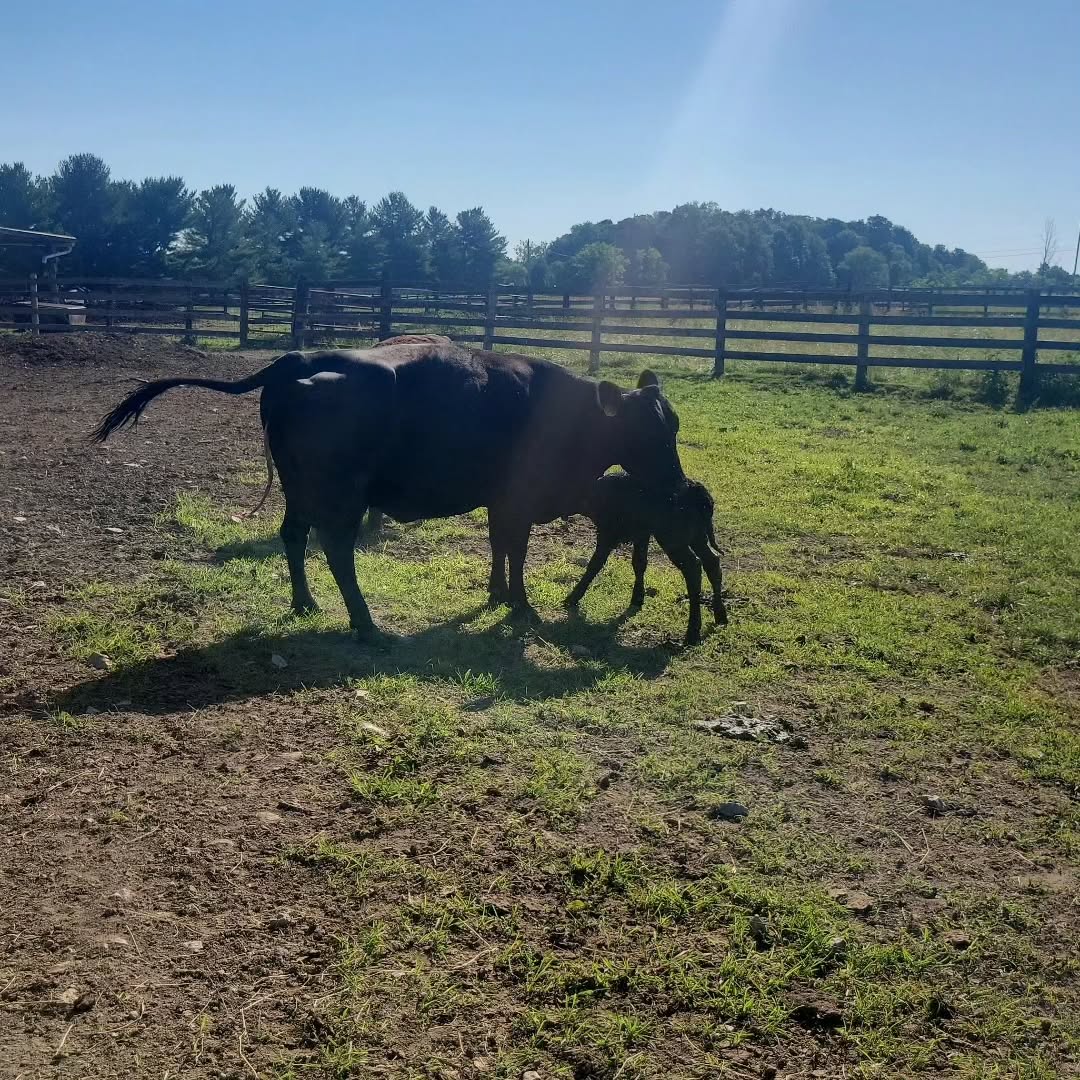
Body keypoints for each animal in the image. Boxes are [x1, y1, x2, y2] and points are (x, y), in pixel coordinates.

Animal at [93, 338, 686, 641]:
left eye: (674, 426)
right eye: (647, 432)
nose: (679, 484)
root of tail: (295, 362)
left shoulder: (500, 500)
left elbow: (499, 545)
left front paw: (497, 594)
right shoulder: (519, 498)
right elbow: (516, 550)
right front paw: (521, 606)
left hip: (300, 490)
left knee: (293, 536)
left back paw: (306, 603)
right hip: (342, 495)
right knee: (337, 550)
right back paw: (366, 626)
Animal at [565, 472, 728, 645]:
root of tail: (696, 491)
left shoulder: (609, 532)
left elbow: (595, 563)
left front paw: (573, 598)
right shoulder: (641, 534)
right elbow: (639, 563)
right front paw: (637, 598)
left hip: (673, 538)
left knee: (693, 567)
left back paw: (692, 633)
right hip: (697, 535)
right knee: (712, 562)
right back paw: (720, 616)